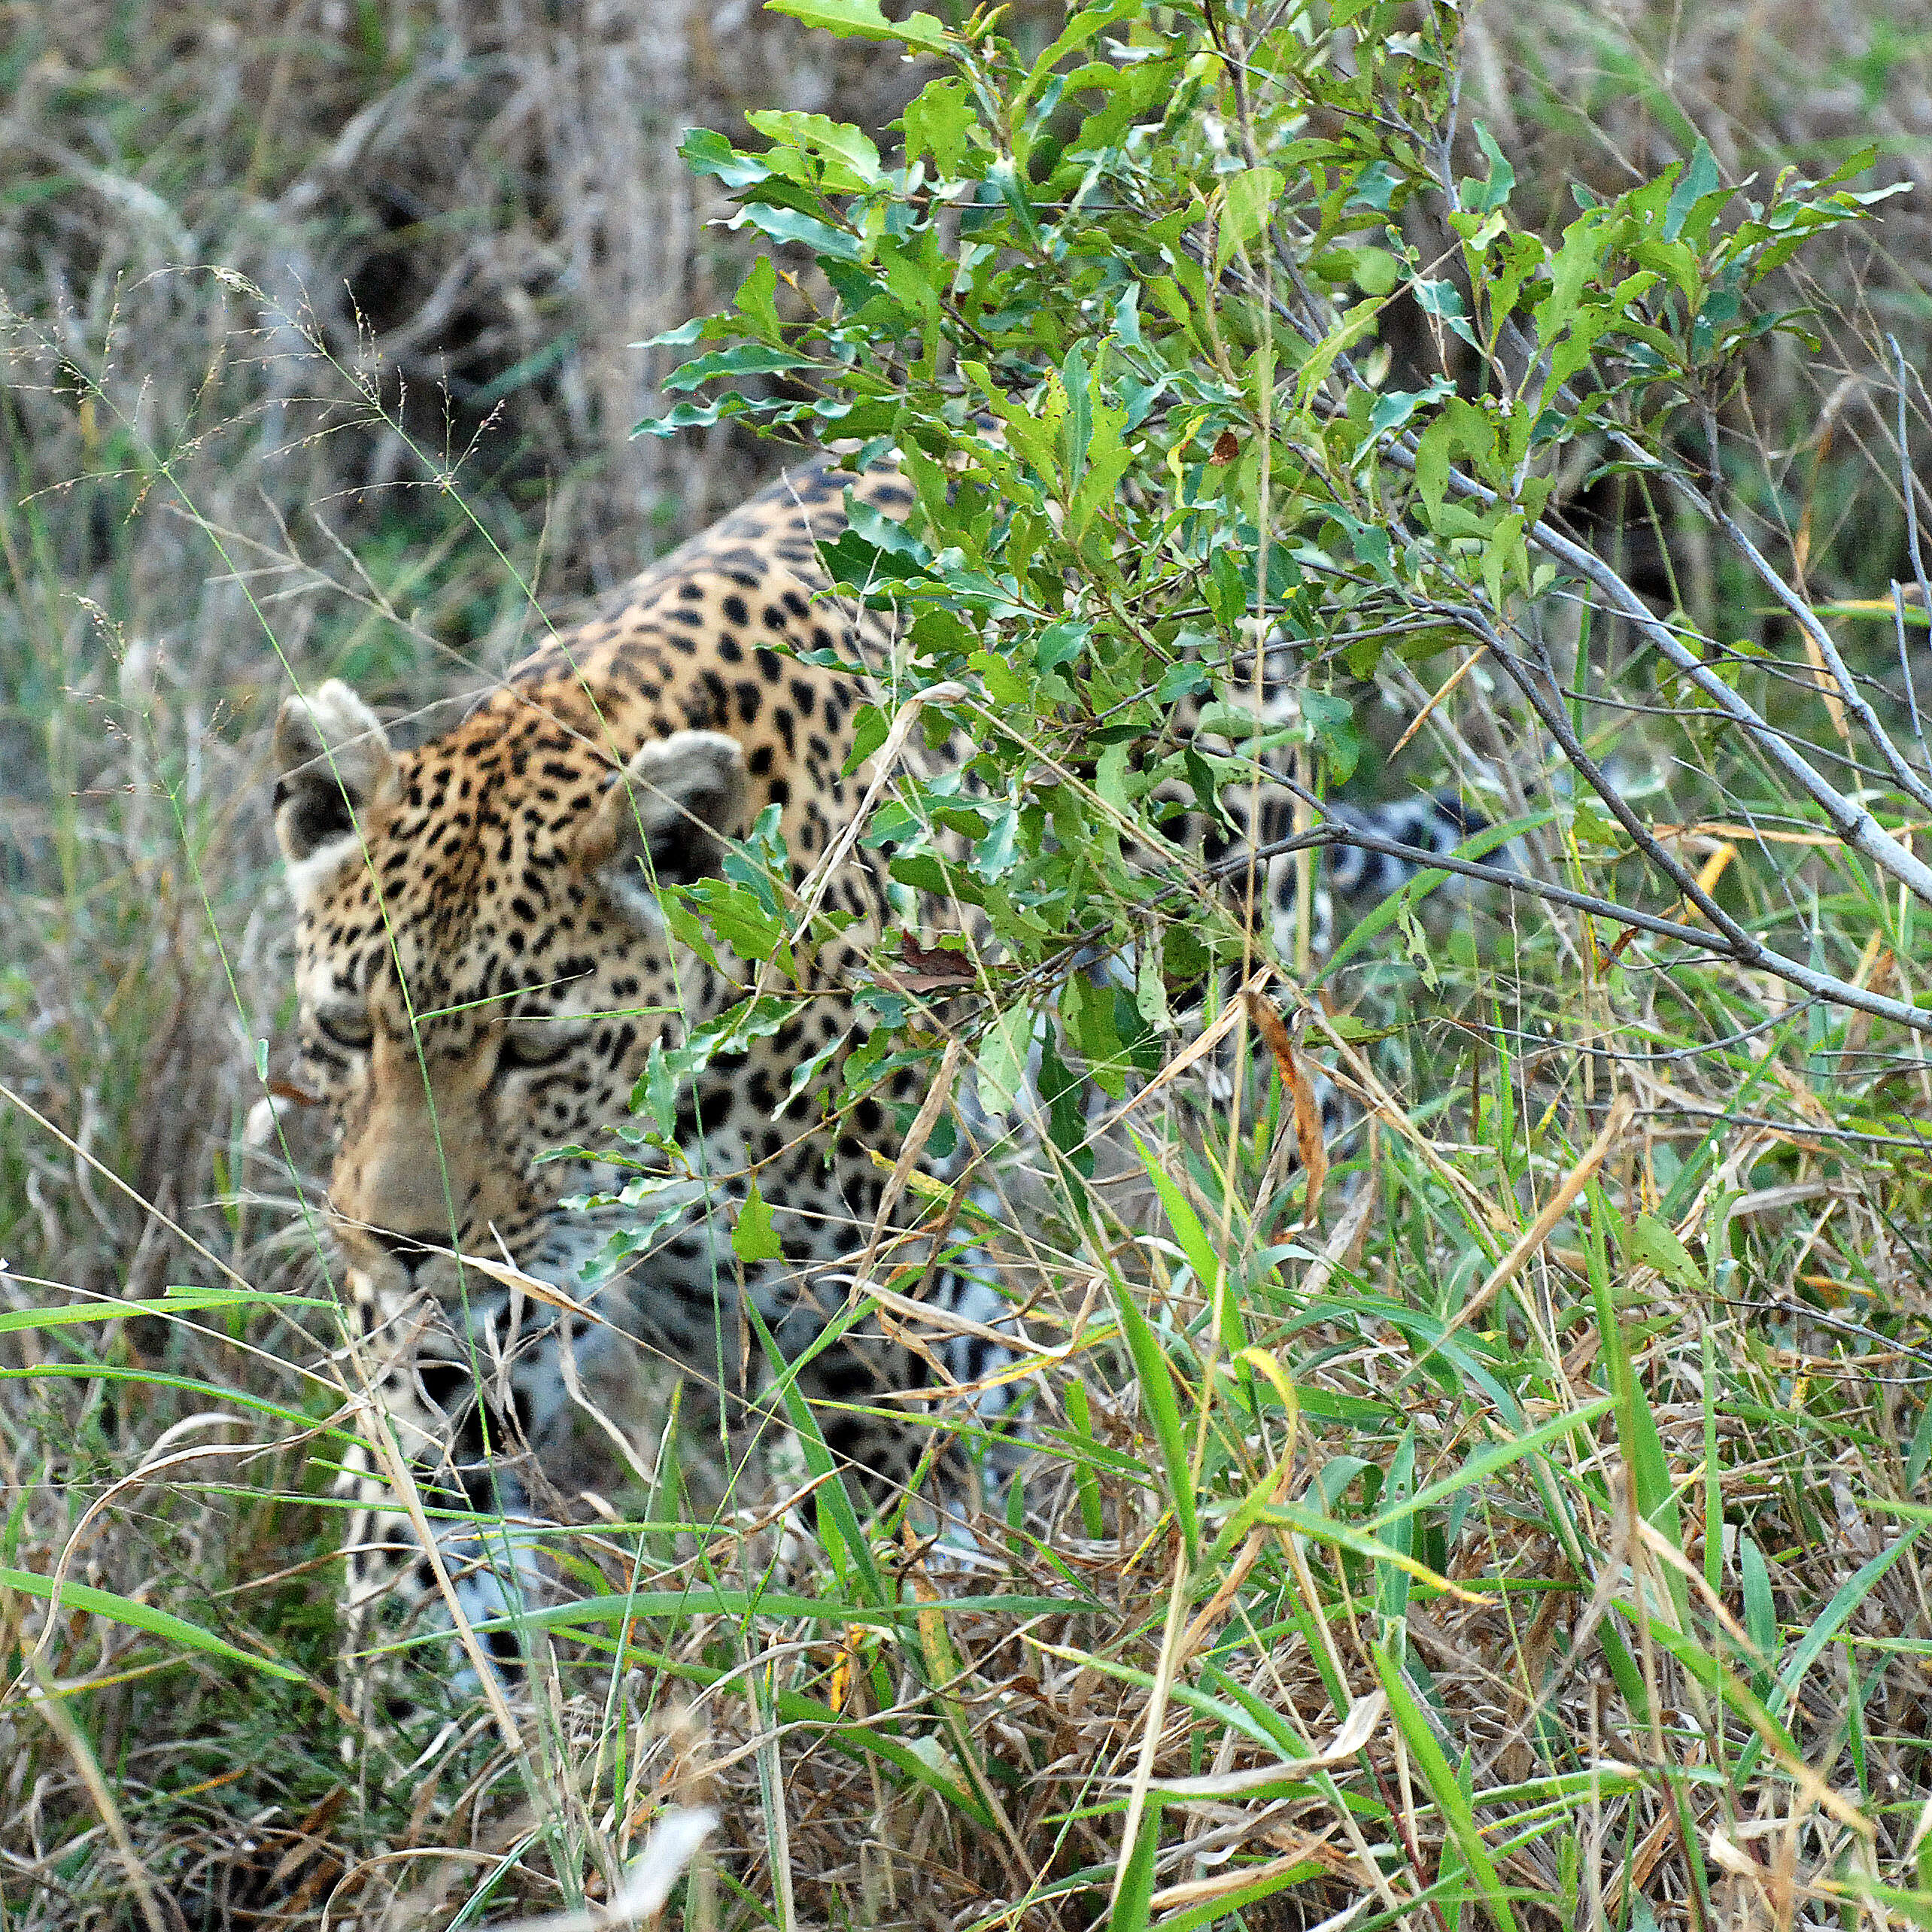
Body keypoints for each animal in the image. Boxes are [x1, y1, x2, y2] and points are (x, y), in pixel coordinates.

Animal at [272, 444, 1499, 1684]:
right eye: (345, 1032)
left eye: (533, 1050)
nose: (400, 1247)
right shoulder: (448, 1382)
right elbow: (424, 1582)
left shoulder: (887, 1326)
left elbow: (905, 1588)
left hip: (1230, 1000)